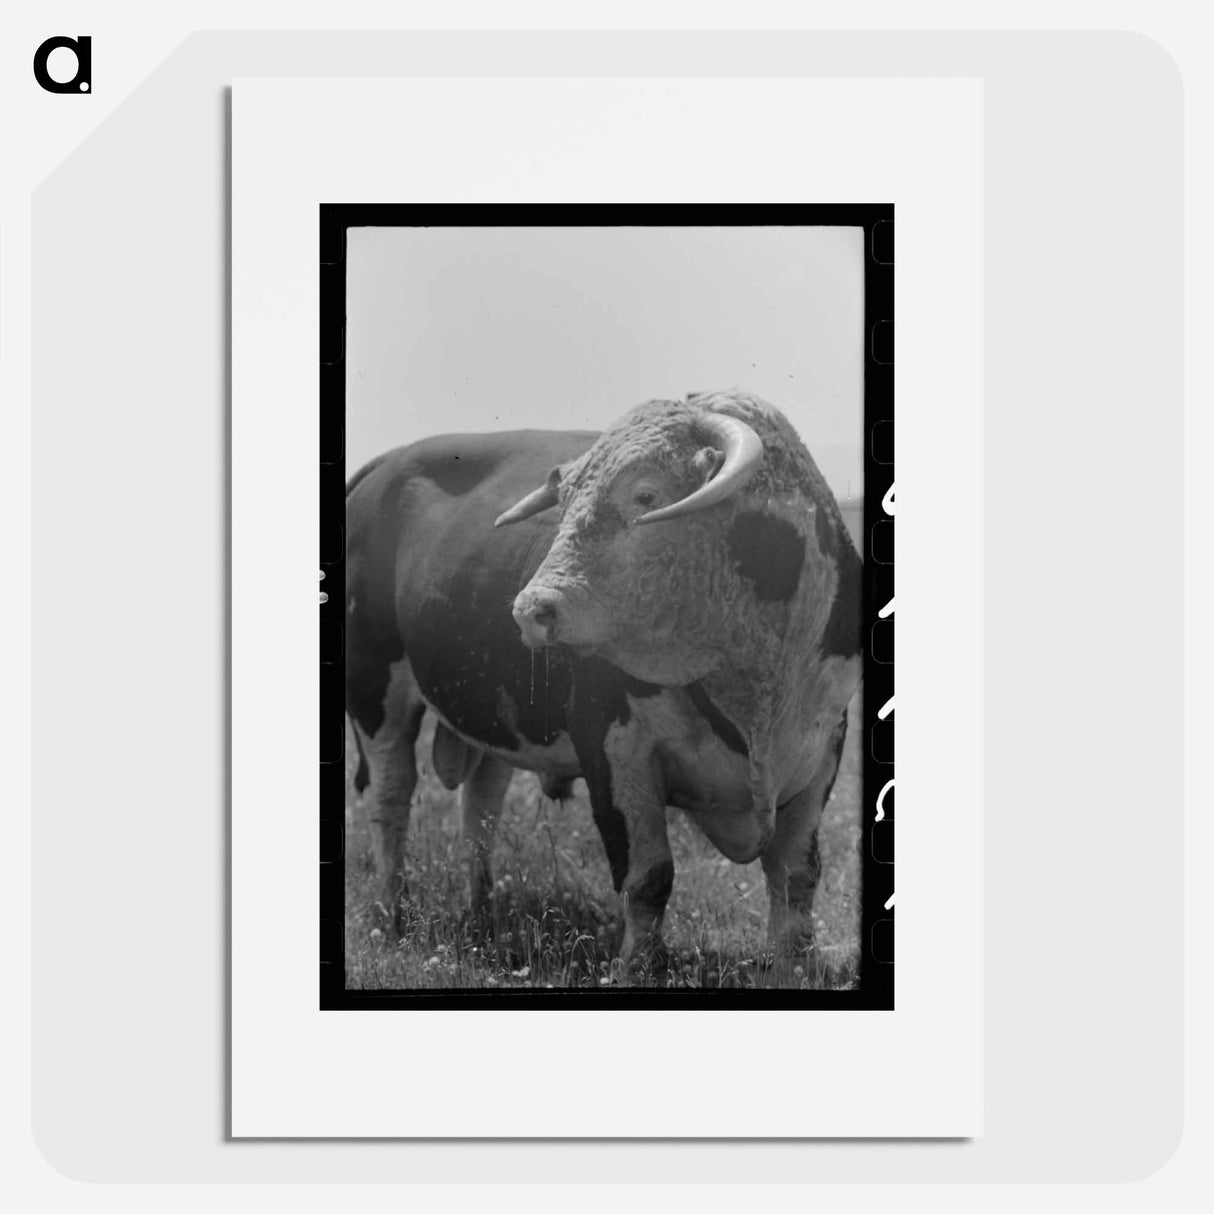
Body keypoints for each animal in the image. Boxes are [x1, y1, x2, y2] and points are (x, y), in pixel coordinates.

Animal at [345, 390, 862, 981]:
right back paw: (394, 914)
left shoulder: (822, 746)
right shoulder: (614, 750)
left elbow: (797, 874)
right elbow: (649, 874)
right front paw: (639, 964)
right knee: (391, 798)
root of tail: (383, 467)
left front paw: (794, 964)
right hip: (374, 692)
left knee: (481, 807)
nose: (530, 610)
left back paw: (482, 916)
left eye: (645, 494)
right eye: (564, 503)